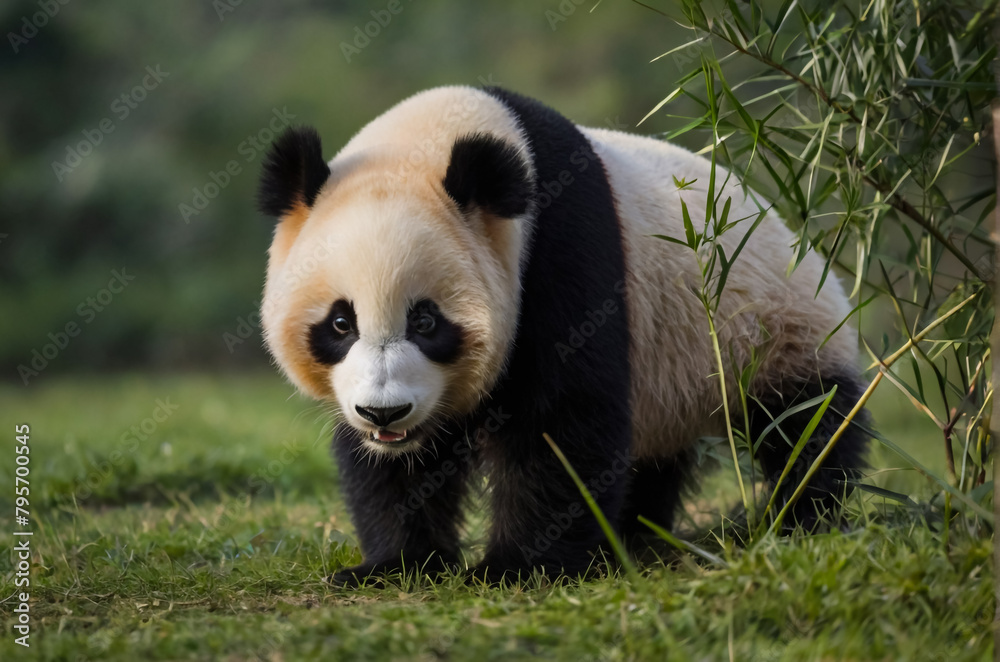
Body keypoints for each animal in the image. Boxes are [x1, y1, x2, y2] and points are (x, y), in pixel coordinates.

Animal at [257, 86, 868, 586]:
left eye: (426, 321)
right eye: (341, 323)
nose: (384, 413)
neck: (438, 137)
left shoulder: (558, 251)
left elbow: (560, 419)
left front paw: (516, 568)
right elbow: (397, 470)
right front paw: (395, 564)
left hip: (778, 329)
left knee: (805, 422)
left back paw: (797, 519)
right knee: (653, 454)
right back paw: (632, 532)